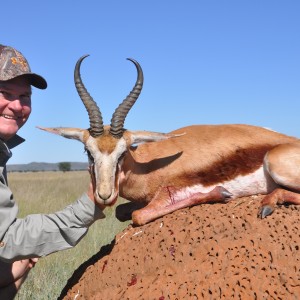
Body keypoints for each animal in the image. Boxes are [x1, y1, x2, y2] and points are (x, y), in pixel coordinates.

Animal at [38, 55, 300, 225]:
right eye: (88, 152)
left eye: (123, 151)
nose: (104, 194)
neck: (148, 166)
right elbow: (123, 212)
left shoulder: (169, 192)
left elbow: (138, 215)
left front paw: (221, 193)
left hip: (274, 163)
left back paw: (267, 204)